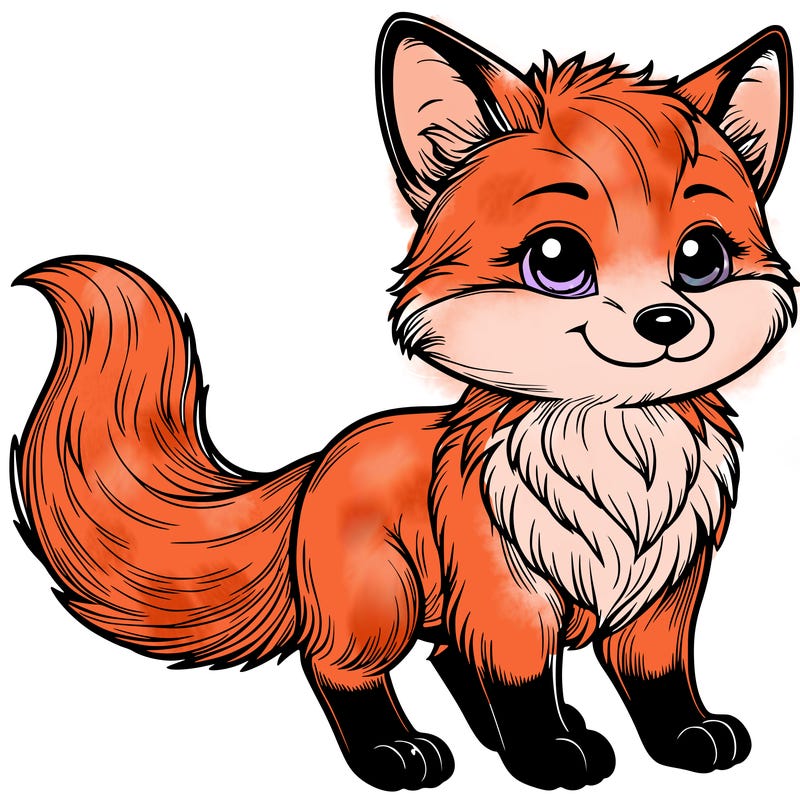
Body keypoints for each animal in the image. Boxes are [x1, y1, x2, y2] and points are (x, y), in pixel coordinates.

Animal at [10, 11, 795, 792]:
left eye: (701, 257)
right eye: (557, 261)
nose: (666, 322)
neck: (616, 451)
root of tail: (317, 465)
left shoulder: (664, 594)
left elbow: (660, 680)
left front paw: (685, 736)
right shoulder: (508, 593)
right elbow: (522, 682)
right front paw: (546, 753)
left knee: (447, 656)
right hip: (379, 604)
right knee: (339, 668)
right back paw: (396, 752)